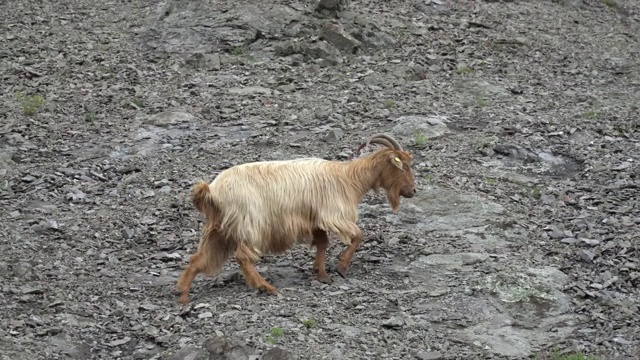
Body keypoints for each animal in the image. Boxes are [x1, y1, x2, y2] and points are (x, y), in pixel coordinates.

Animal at [176, 133, 416, 304]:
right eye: (403, 165)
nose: (413, 191)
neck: (348, 178)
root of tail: (211, 190)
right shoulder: (334, 215)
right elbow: (357, 235)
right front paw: (341, 268)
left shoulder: (315, 220)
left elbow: (322, 243)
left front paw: (321, 274)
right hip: (249, 224)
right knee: (243, 257)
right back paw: (266, 288)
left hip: (220, 230)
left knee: (198, 259)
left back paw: (183, 296)